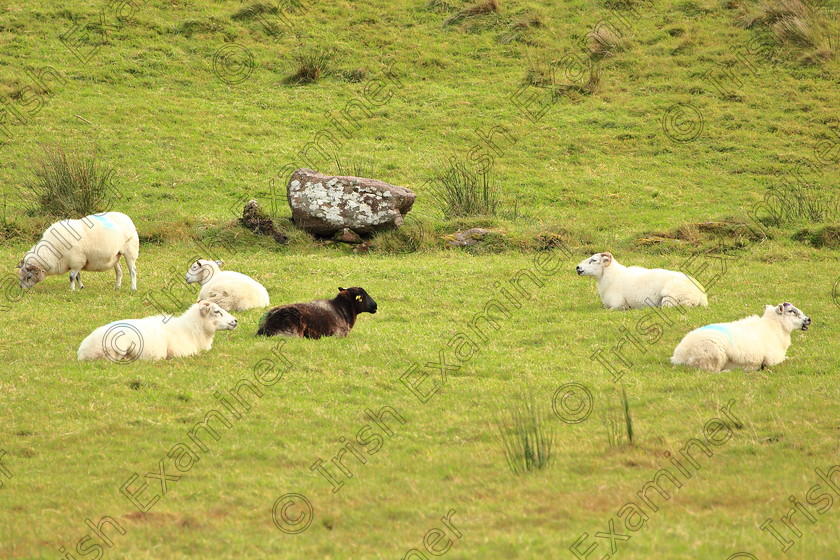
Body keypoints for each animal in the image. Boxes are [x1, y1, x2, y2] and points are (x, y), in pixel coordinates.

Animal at [576, 253, 704, 310]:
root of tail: (701, 297)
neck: (612, 277)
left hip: (670, 298)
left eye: (594, 260)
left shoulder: (619, 304)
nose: (577, 267)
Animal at [668, 302, 812, 372]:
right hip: (712, 357)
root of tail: (679, 355)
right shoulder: (772, 360)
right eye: (791, 311)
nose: (809, 319)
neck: (773, 328)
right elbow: (784, 360)